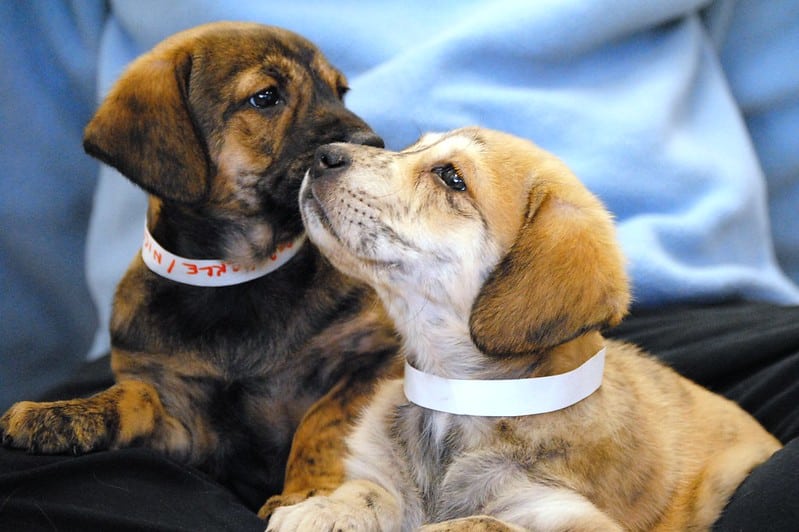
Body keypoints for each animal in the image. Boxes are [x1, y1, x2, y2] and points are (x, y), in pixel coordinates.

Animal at [0, 22, 398, 510]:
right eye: (266, 97)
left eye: (340, 92)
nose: (375, 147)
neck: (235, 275)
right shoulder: (184, 421)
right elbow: (136, 396)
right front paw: (66, 413)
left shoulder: (376, 357)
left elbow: (323, 421)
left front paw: (305, 493)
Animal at [268, 129, 780, 532]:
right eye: (412, 147)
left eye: (451, 177)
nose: (324, 155)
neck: (460, 402)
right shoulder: (386, 475)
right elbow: (369, 492)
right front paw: (320, 510)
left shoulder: (569, 514)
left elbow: (476, 523)